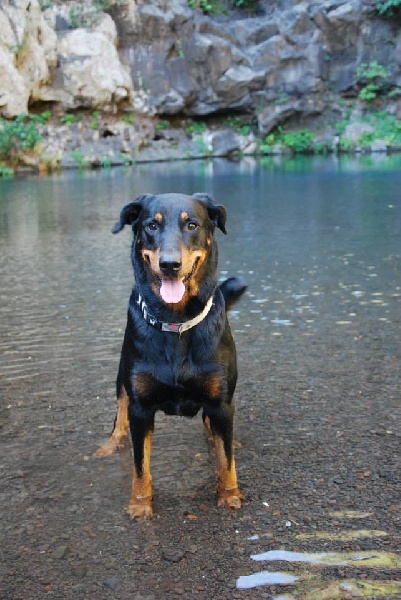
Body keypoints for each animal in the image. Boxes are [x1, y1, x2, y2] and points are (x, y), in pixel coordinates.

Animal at [95, 193, 246, 519]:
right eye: (151, 225)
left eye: (192, 225)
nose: (169, 264)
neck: (175, 321)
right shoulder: (141, 408)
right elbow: (140, 466)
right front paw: (140, 504)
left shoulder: (221, 402)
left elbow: (226, 460)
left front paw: (229, 495)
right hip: (122, 377)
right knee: (120, 412)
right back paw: (110, 445)